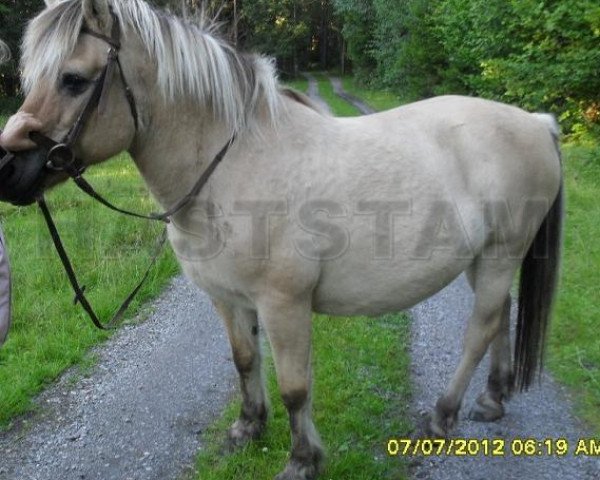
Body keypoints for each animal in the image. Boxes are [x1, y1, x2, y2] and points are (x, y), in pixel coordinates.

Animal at [1, 1, 564, 478]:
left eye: (74, 80)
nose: (9, 168)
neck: (233, 168)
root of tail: (536, 123)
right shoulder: (227, 299)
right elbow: (245, 361)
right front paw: (247, 427)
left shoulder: (283, 304)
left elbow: (295, 387)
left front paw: (302, 460)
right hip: (481, 259)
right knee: (501, 317)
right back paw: (492, 399)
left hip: (501, 254)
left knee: (480, 329)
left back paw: (444, 416)